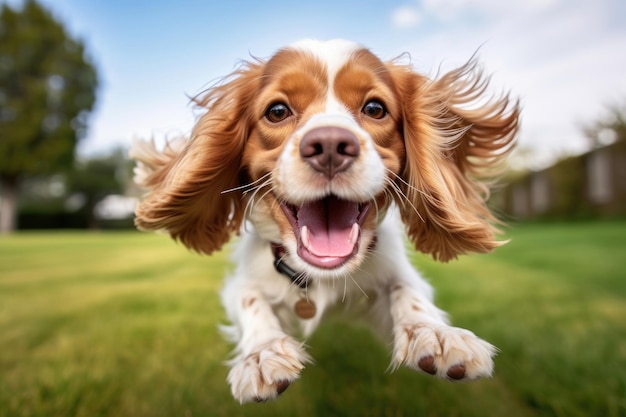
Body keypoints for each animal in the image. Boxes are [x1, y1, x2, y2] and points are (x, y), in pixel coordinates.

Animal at [130, 39, 516, 404]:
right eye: (277, 111)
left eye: (375, 108)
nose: (330, 144)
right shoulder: (244, 281)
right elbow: (251, 301)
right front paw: (262, 354)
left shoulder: (393, 271)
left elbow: (407, 291)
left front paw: (434, 333)